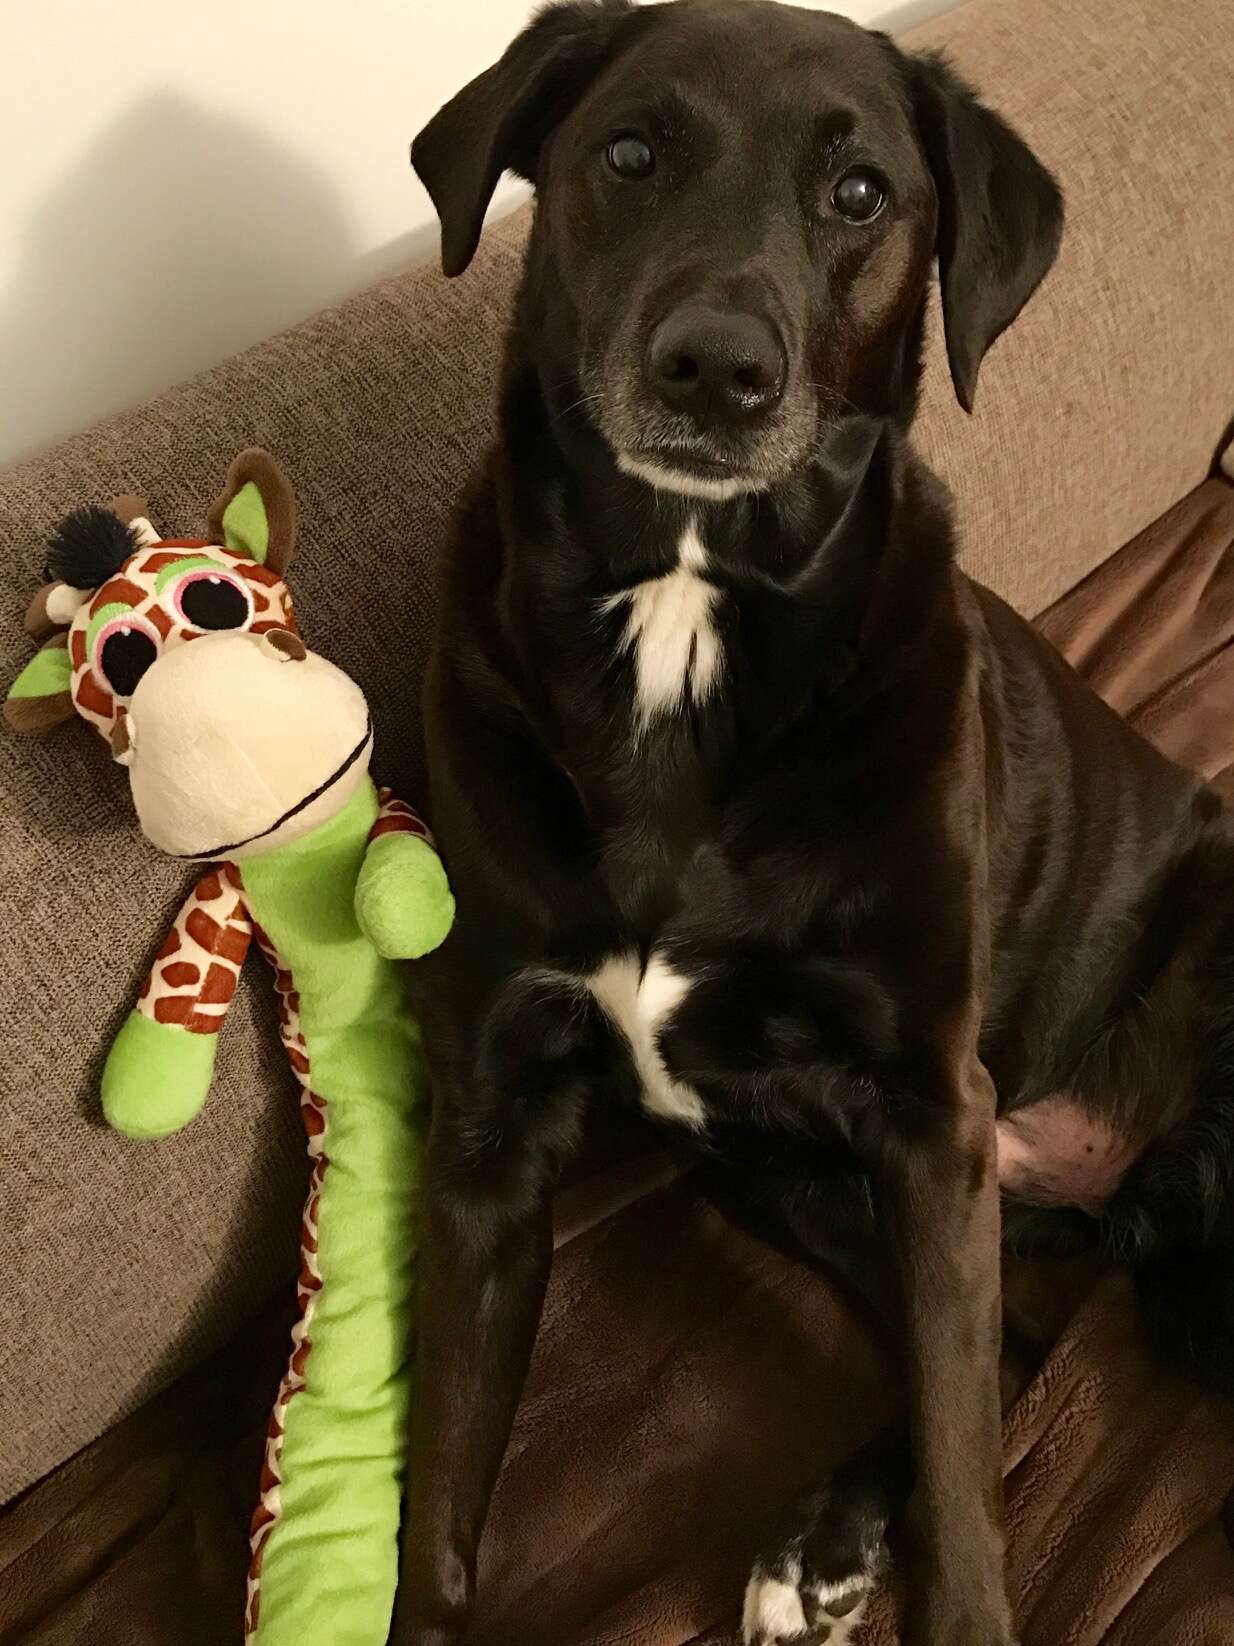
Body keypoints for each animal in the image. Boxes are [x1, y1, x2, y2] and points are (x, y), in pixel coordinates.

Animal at [396, 6, 1234, 1639]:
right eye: (628, 152)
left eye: (859, 196)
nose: (715, 369)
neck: (681, 614)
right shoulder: (492, 1128)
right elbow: (441, 1506)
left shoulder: (927, 1111)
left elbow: (972, 1502)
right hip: (789, 1169)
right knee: (1012, 1346)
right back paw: (823, 1543)